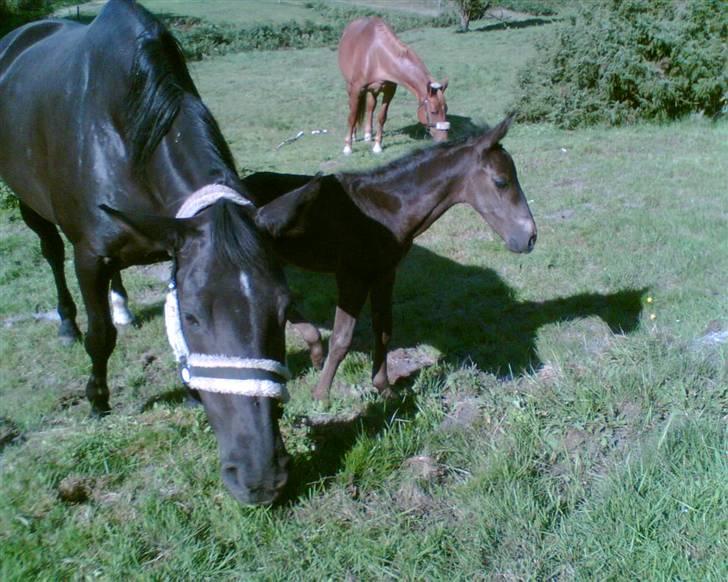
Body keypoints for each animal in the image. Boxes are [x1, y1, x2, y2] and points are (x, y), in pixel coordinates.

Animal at [2, 0, 292, 506]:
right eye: (193, 316)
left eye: (285, 310)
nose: (261, 479)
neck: (122, 134)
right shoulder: (89, 256)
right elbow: (100, 337)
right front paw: (97, 401)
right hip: (28, 201)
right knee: (50, 252)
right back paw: (66, 323)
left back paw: (123, 307)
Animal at [245, 116, 536, 404]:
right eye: (501, 182)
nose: (530, 237)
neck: (385, 210)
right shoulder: (352, 277)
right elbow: (342, 338)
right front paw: (321, 396)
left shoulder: (385, 273)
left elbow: (384, 330)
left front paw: (384, 388)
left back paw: (315, 348)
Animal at [342, 17, 450, 155]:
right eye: (433, 111)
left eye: (446, 109)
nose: (444, 139)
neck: (376, 55)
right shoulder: (356, 89)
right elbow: (352, 116)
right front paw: (347, 147)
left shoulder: (389, 91)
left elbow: (382, 117)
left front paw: (377, 146)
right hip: (350, 87)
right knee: (354, 109)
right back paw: (354, 136)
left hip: (373, 90)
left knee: (370, 107)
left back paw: (368, 135)